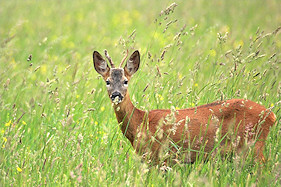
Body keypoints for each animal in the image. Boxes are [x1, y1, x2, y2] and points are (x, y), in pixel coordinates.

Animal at [92, 49, 276, 164]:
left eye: (126, 81)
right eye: (107, 81)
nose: (116, 94)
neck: (141, 122)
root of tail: (271, 115)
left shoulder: (160, 155)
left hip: (253, 144)